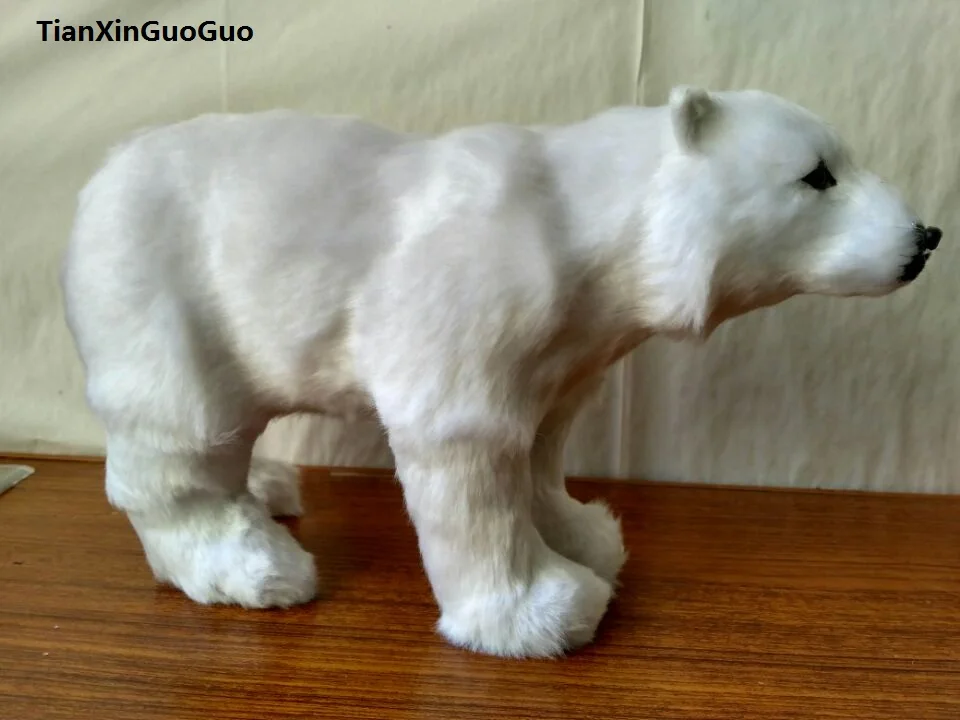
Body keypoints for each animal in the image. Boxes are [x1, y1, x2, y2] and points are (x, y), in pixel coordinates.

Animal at [60, 86, 941, 658]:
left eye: (841, 158)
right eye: (816, 173)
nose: (926, 237)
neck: (587, 234)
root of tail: (100, 174)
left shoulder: (569, 345)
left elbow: (542, 442)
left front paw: (586, 532)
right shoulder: (471, 297)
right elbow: (466, 452)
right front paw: (544, 611)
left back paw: (271, 487)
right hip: (162, 287)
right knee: (181, 438)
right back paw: (250, 562)